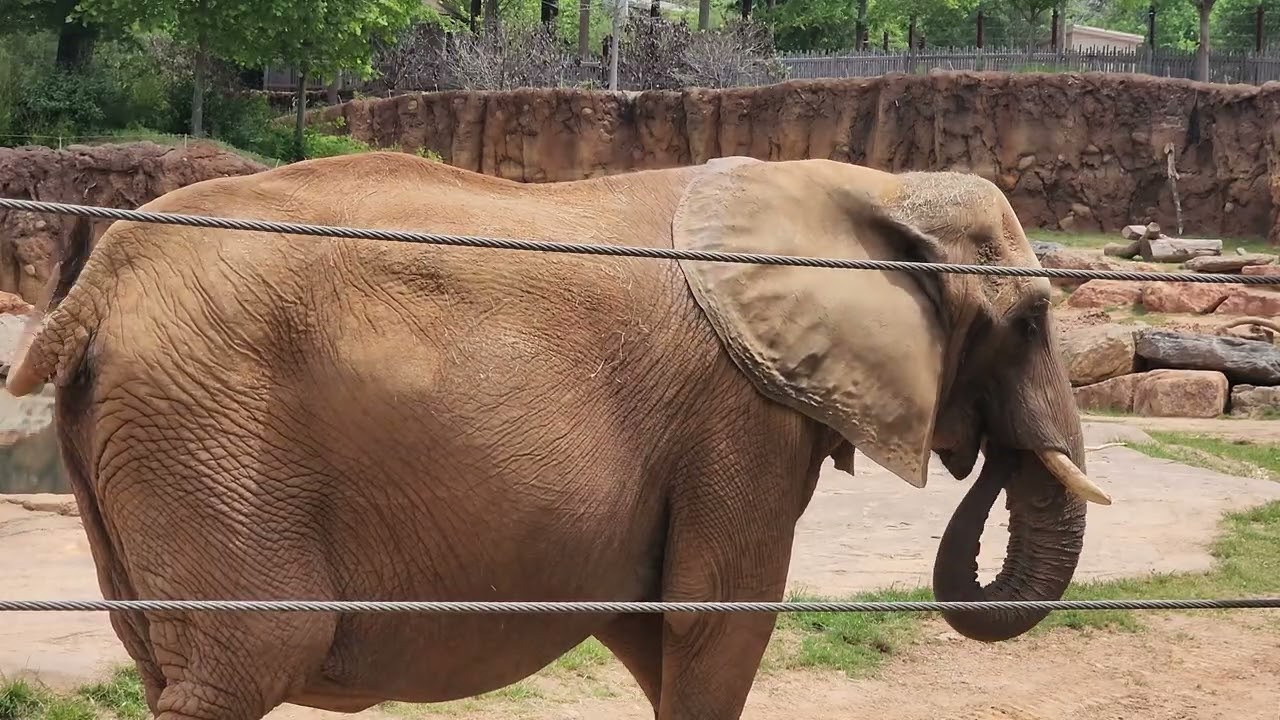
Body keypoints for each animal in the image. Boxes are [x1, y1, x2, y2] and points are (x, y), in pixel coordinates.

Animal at [5, 152, 1111, 720]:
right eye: (1025, 323)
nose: (985, 450)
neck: (861, 183)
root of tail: (95, 285)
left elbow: (654, 627)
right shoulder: (735, 420)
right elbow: (717, 623)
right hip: (210, 432)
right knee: (252, 656)